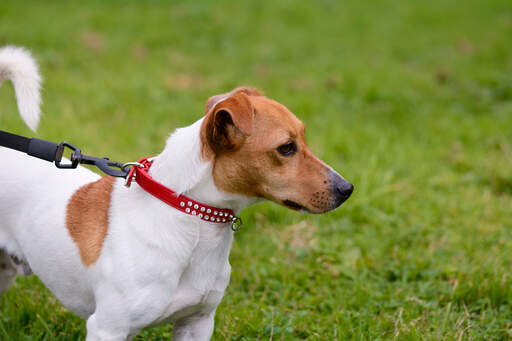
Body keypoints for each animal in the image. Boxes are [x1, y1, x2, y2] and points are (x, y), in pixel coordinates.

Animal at [0, 45, 352, 340]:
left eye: (303, 138)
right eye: (286, 148)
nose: (347, 189)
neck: (186, 213)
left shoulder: (196, 322)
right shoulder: (107, 328)